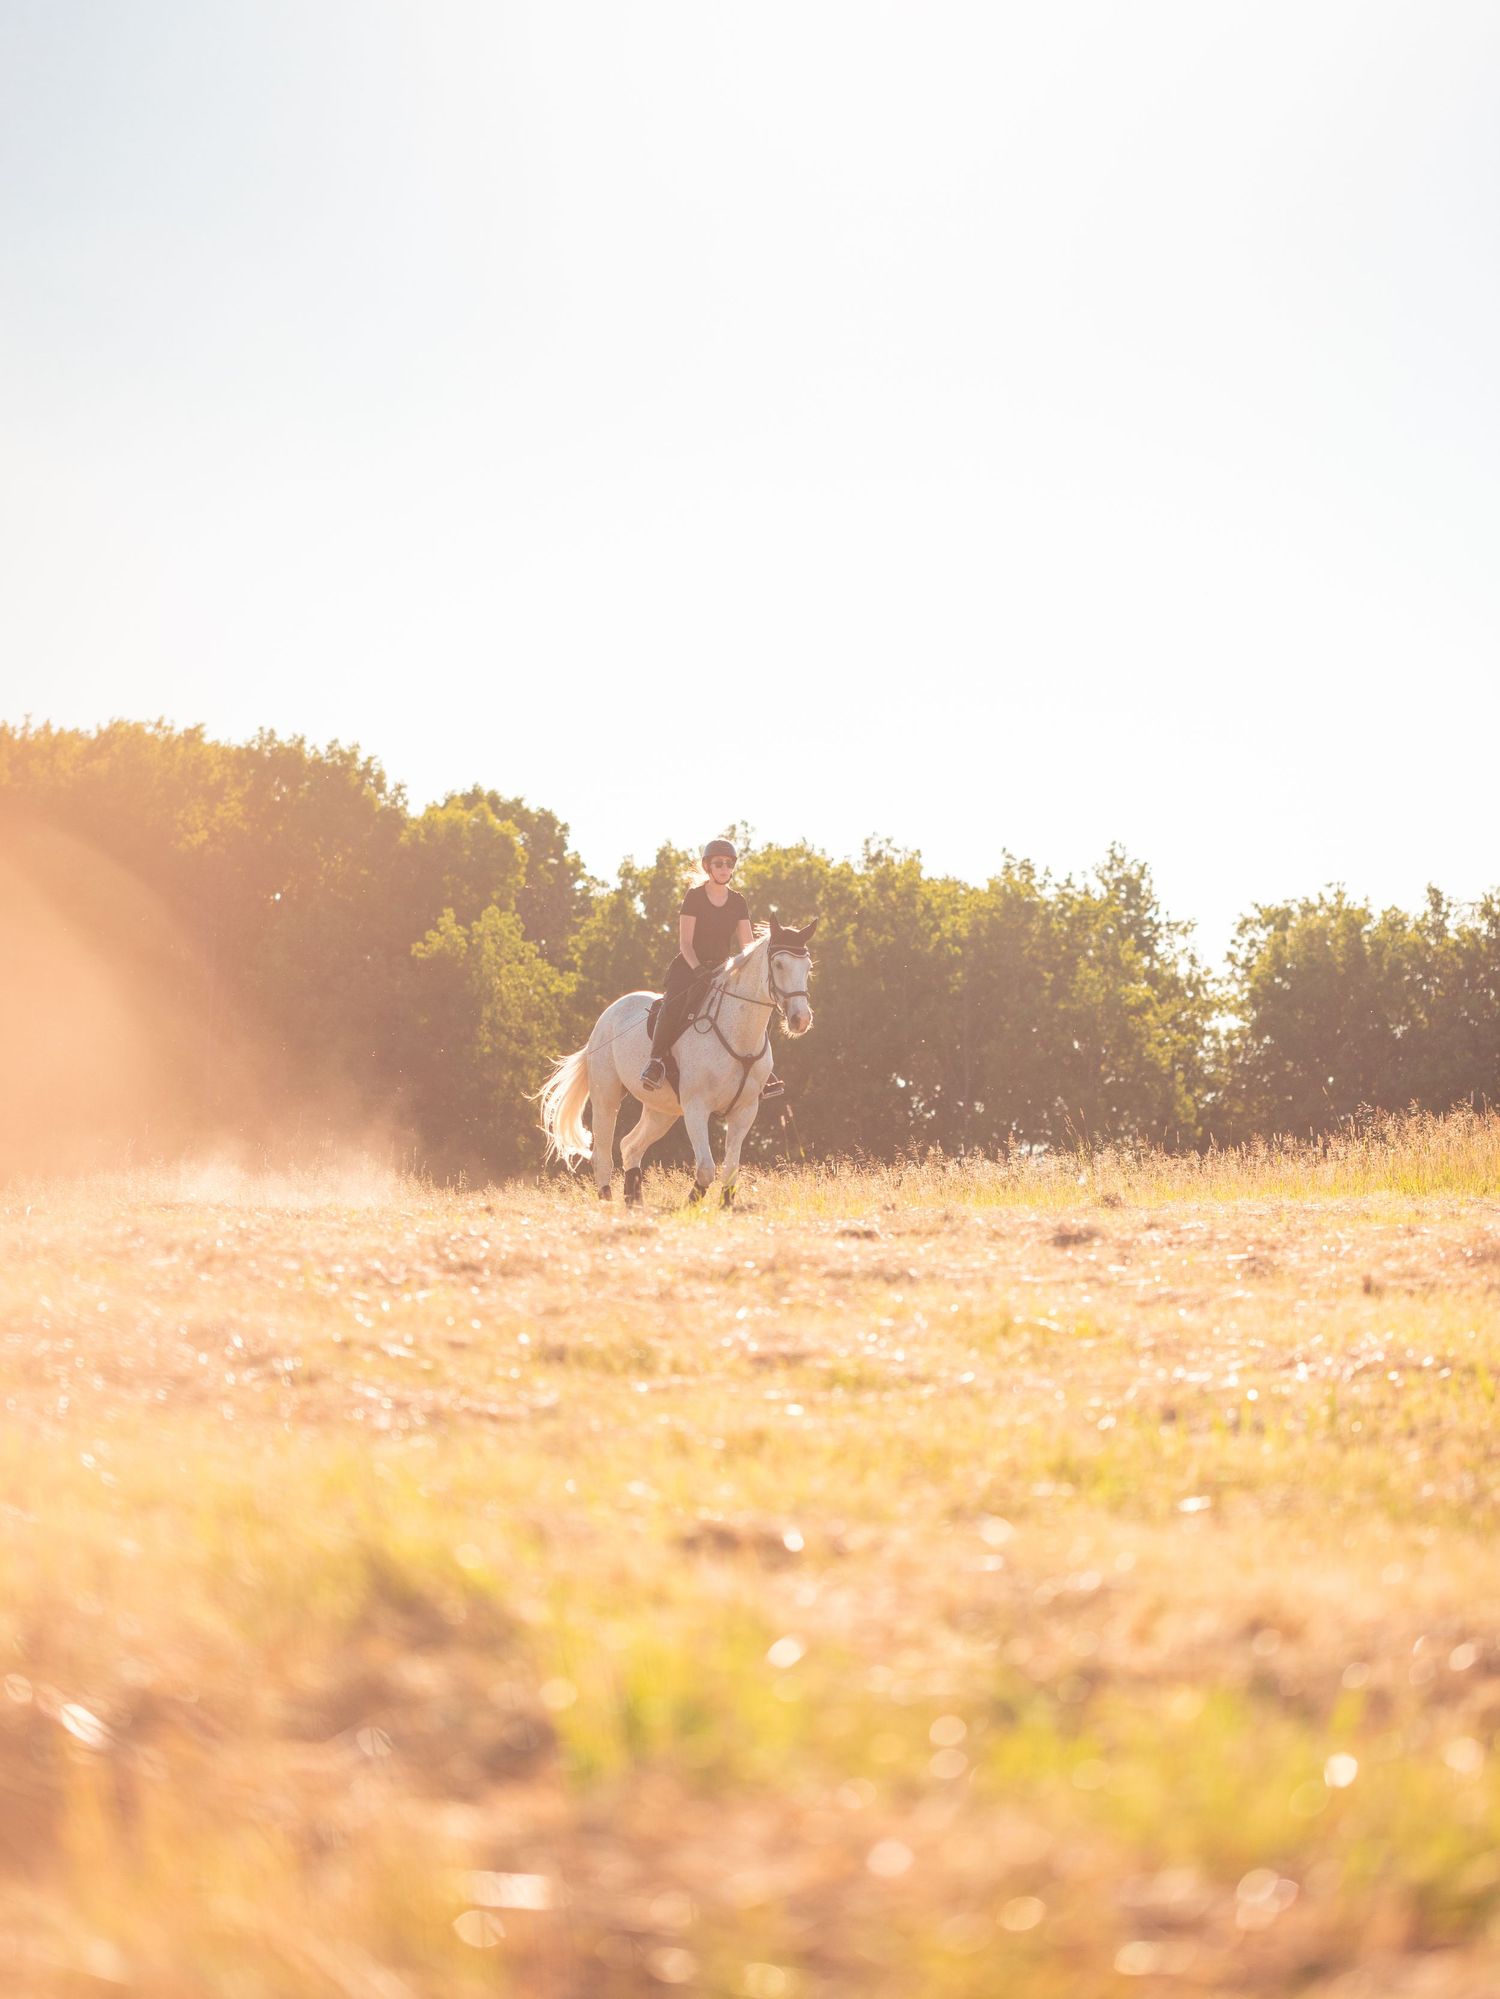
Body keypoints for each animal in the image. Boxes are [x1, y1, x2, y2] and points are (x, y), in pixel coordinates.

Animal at [536, 915, 817, 1206]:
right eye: (779, 964)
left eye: (807, 967)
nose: (800, 1019)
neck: (739, 1034)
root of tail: (607, 1016)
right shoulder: (696, 1108)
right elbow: (706, 1169)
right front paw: (690, 1206)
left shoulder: (744, 1111)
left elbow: (730, 1169)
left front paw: (725, 1206)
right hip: (607, 1097)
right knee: (602, 1154)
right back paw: (608, 1201)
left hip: (662, 1110)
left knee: (630, 1146)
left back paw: (634, 1201)